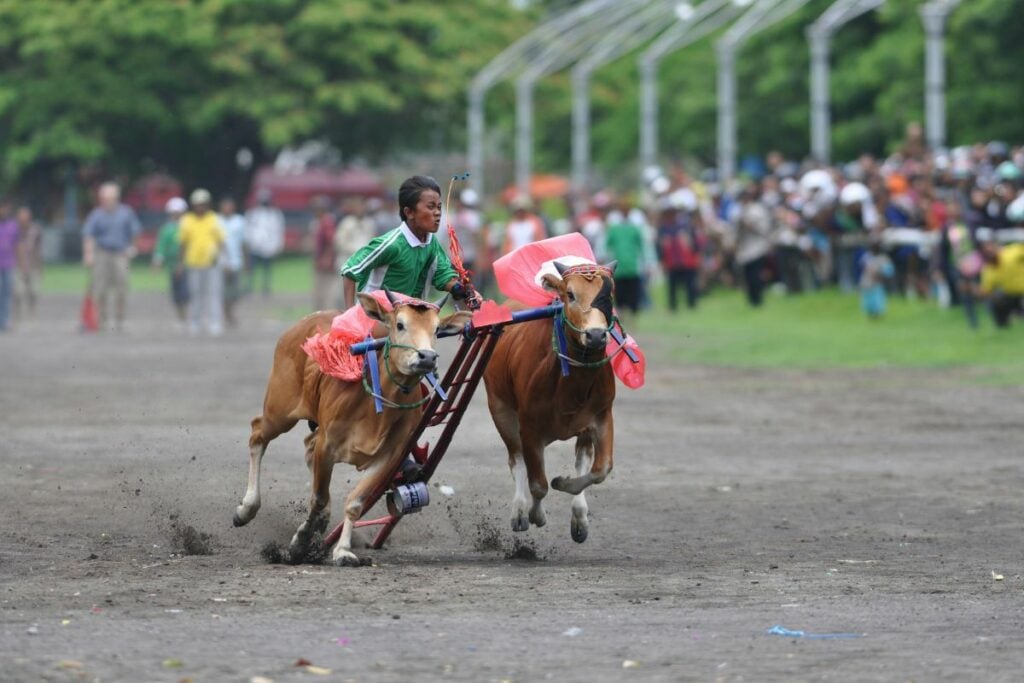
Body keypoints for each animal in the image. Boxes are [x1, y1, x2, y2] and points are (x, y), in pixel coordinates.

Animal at [233, 294, 471, 565]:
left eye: (436, 329)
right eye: (400, 324)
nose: (427, 357)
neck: (376, 405)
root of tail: (301, 324)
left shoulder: (389, 457)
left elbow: (354, 503)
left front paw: (343, 550)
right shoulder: (327, 445)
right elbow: (318, 497)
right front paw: (302, 540)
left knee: (306, 445)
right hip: (280, 410)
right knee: (257, 434)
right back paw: (246, 509)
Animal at [485, 264, 618, 544]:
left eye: (608, 294)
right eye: (570, 294)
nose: (596, 335)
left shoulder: (601, 416)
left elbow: (599, 469)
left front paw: (565, 489)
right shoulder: (530, 426)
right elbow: (538, 484)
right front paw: (535, 514)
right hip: (500, 409)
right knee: (516, 459)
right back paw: (519, 511)